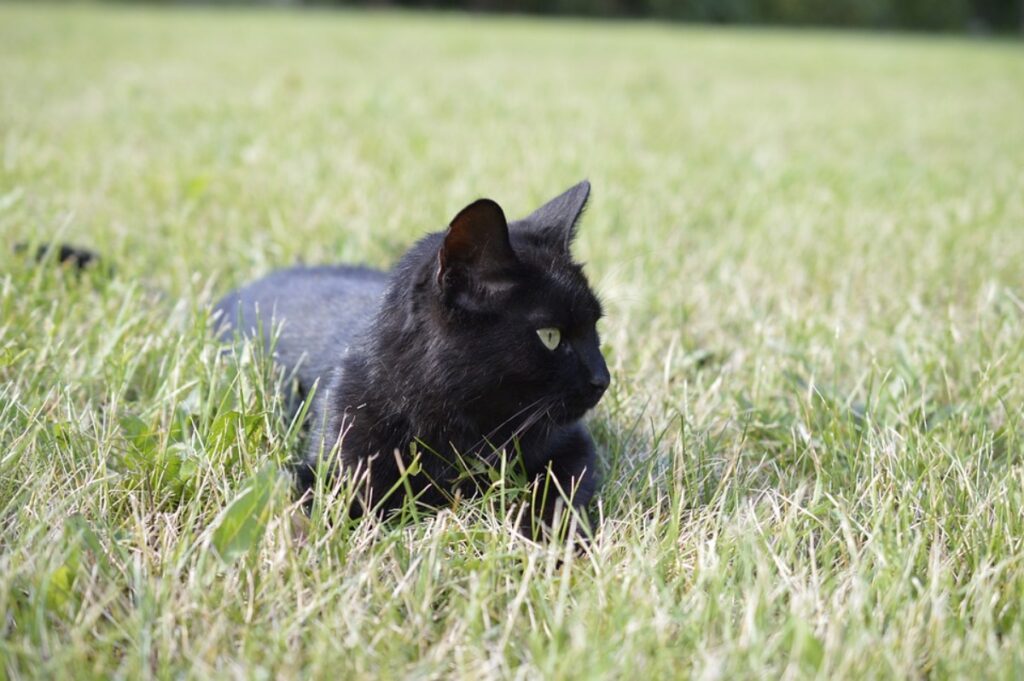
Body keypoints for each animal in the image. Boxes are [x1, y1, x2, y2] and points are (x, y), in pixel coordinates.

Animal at [216, 182, 606, 536]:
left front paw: (551, 542)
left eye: (595, 326)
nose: (603, 379)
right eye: (550, 336)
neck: (460, 430)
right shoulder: (330, 467)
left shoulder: (574, 448)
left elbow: (558, 498)